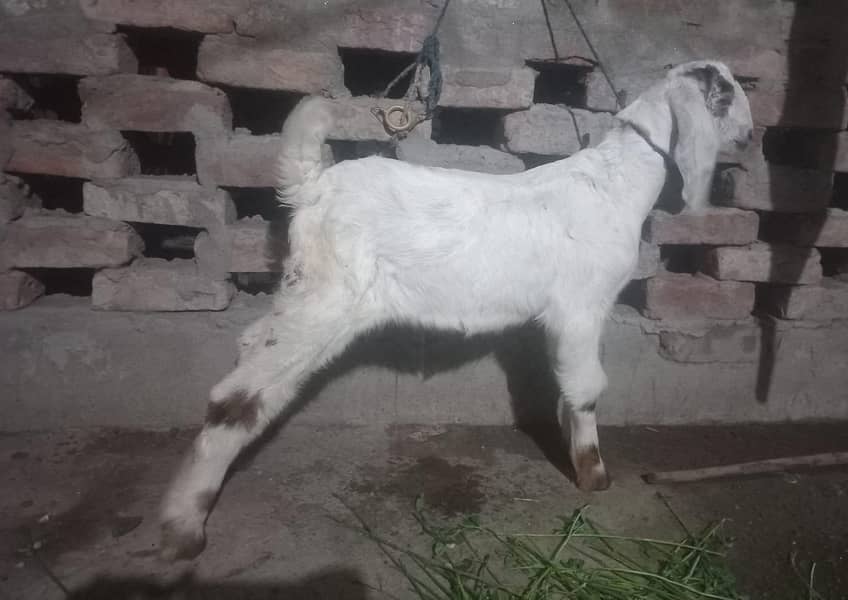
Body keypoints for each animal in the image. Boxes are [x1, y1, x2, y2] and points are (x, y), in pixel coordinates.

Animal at [159, 60, 753, 560]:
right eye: (725, 97)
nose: (751, 138)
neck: (616, 183)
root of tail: (312, 187)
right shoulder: (582, 305)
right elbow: (587, 387)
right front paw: (594, 475)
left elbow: (566, 385)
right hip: (329, 297)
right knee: (235, 397)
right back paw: (183, 525)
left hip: (306, 292)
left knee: (253, 348)